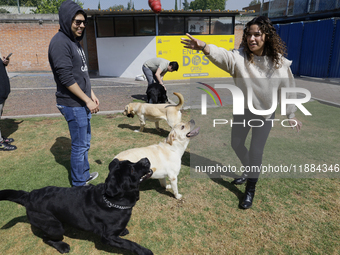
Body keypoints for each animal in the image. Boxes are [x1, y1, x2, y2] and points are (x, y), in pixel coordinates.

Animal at [0, 158, 153, 254]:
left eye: (130, 162)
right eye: (132, 169)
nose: (145, 159)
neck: (113, 201)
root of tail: (29, 196)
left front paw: (123, 231)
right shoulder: (108, 237)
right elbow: (130, 243)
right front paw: (144, 251)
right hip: (54, 227)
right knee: (46, 237)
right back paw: (62, 246)